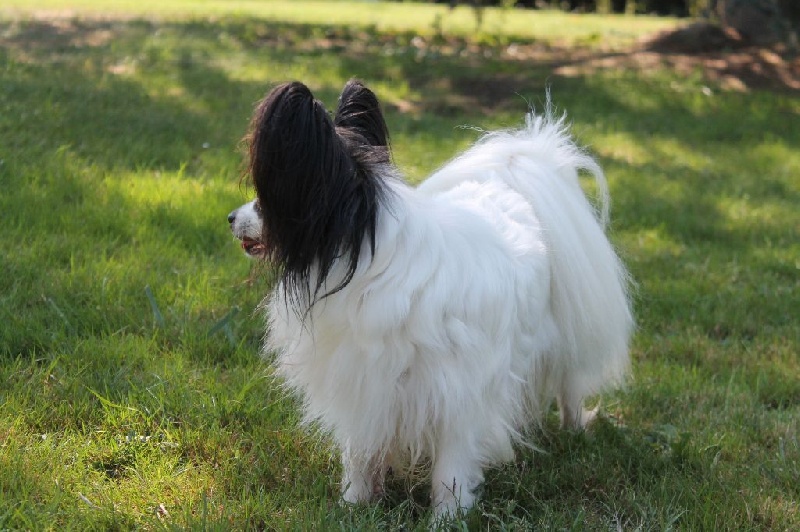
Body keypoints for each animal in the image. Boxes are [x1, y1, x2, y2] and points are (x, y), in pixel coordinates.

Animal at [228, 80, 636, 520]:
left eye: (266, 200)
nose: (230, 218)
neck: (372, 265)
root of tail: (514, 174)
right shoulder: (364, 384)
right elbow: (360, 454)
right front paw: (353, 506)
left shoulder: (459, 394)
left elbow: (451, 470)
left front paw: (447, 518)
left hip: (563, 342)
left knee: (569, 386)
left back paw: (574, 428)